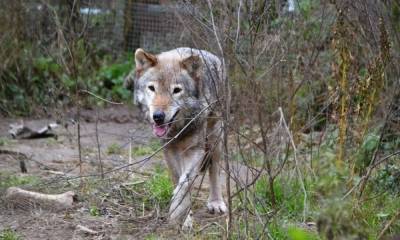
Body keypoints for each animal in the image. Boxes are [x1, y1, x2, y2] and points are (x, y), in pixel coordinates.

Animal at [126, 47, 227, 229]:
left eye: (176, 90)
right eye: (152, 88)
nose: (158, 117)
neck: (178, 130)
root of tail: (211, 55)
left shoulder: (195, 151)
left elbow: (184, 184)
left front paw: (177, 213)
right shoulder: (169, 151)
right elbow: (178, 180)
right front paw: (185, 217)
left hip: (215, 138)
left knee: (214, 169)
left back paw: (216, 202)